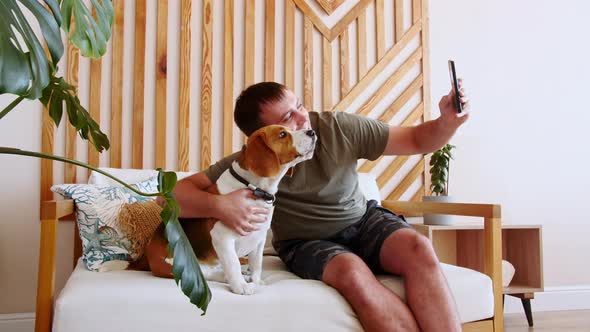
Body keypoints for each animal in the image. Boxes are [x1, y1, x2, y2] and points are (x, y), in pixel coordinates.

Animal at [145, 125, 316, 296]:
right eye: (282, 134)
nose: (312, 132)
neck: (254, 188)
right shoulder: (222, 237)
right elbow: (233, 264)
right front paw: (241, 286)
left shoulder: (259, 240)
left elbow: (257, 265)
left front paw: (255, 281)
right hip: (180, 266)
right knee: (209, 273)